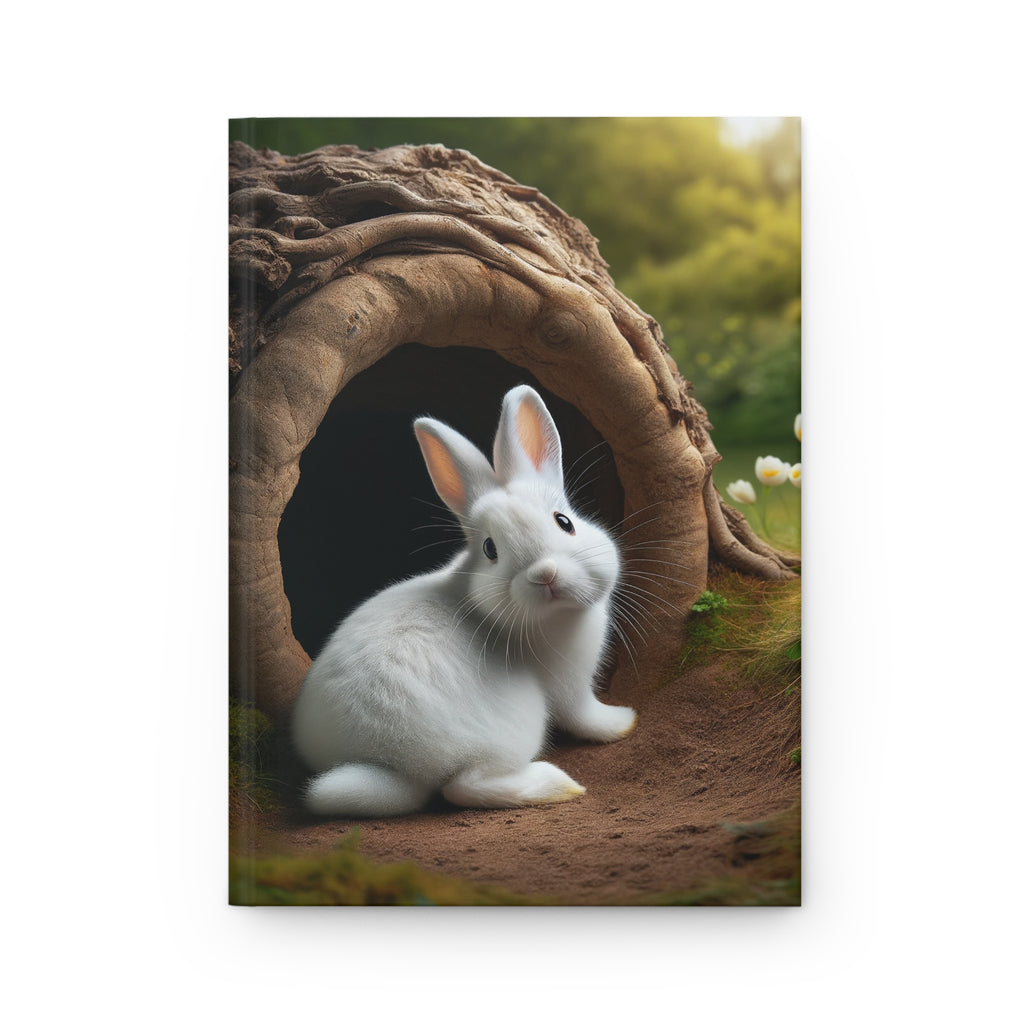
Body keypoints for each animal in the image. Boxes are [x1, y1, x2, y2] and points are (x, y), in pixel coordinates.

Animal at [291, 384, 636, 817]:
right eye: (490, 549)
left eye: (565, 522)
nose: (545, 574)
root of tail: (393, 764)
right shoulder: (570, 685)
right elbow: (586, 717)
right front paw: (623, 720)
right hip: (514, 726)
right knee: (465, 787)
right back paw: (559, 785)